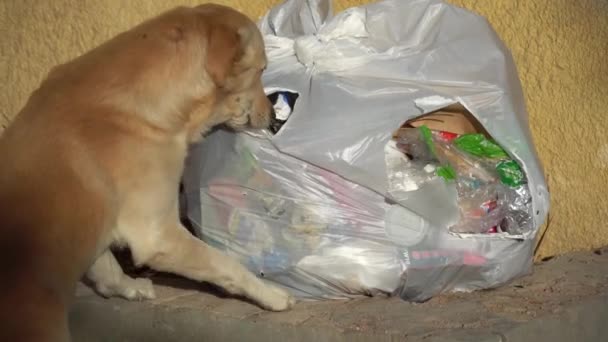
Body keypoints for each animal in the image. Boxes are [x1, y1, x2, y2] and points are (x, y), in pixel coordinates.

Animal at [0, 5, 294, 342]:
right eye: (261, 70)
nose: (273, 118)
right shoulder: (158, 234)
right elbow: (226, 263)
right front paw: (270, 294)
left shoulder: (95, 228)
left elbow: (108, 271)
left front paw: (130, 288)